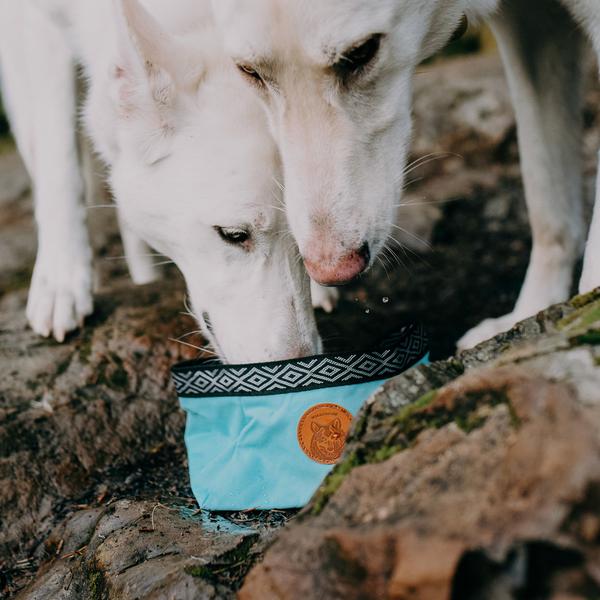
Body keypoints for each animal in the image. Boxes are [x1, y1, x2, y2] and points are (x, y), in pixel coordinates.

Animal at [210, 0, 600, 346]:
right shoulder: (532, 23)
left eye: (362, 53)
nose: (330, 271)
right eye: (249, 72)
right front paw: (534, 313)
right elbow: (546, 201)